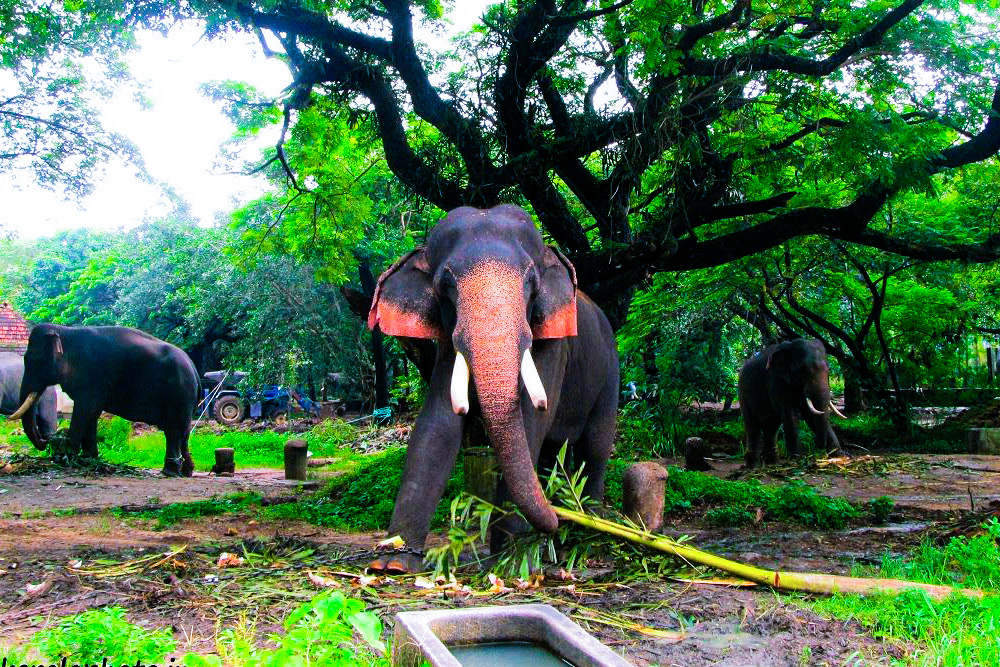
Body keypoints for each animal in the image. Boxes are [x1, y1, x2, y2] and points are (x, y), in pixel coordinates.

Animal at [8, 324, 200, 476]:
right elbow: (91, 414)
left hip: (179, 393)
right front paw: (89, 460)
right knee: (184, 432)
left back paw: (169, 473)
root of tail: (193, 368)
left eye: (36, 360)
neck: (66, 331)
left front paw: (66, 457)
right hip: (184, 397)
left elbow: (85, 410)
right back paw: (186, 471)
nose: (44, 442)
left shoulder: (92, 377)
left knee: (173, 430)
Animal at [367, 204, 620, 573]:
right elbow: (436, 425)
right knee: (550, 454)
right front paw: (392, 563)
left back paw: (589, 535)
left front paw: (510, 563)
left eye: (531, 283)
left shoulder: (553, 342)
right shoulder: (448, 342)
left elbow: (530, 420)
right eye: (445, 285)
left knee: (596, 446)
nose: (558, 518)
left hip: (610, 372)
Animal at [738, 338, 846, 467]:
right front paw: (798, 460)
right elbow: (790, 413)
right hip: (743, 395)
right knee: (753, 426)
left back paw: (772, 463)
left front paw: (838, 455)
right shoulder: (775, 380)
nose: (817, 444)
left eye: (828, 370)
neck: (790, 345)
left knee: (771, 426)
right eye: (802, 371)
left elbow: (809, 413)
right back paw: (753, 466)